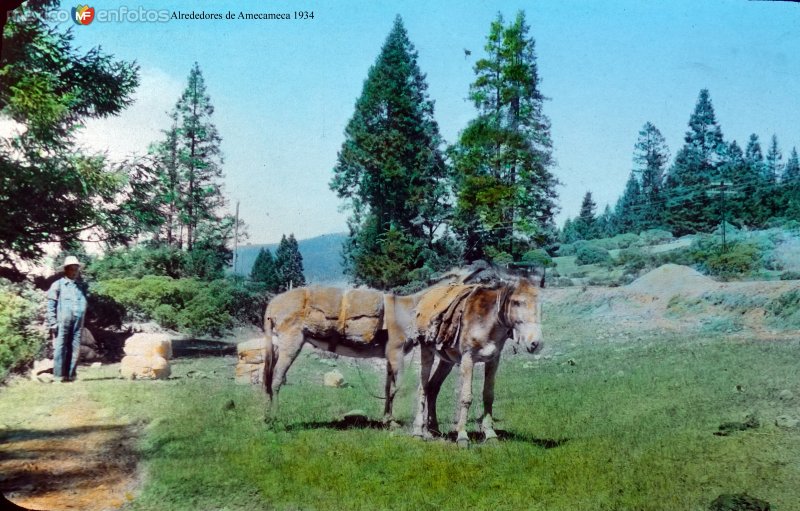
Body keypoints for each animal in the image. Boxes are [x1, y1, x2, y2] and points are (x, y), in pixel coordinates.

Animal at [412, 274, 544, 446]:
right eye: (516, 302)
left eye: (539, 302)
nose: (536, 343)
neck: (487, 321)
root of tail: (426, 296)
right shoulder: (468, 359)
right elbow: (466, 397)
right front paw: (462, 436)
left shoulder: (493, 360)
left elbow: (488, 395)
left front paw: (491, 434)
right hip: (426, 351)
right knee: (422, 388)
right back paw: (418, 432)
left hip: (447, 361)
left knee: (433, 387)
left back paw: (434, 429)